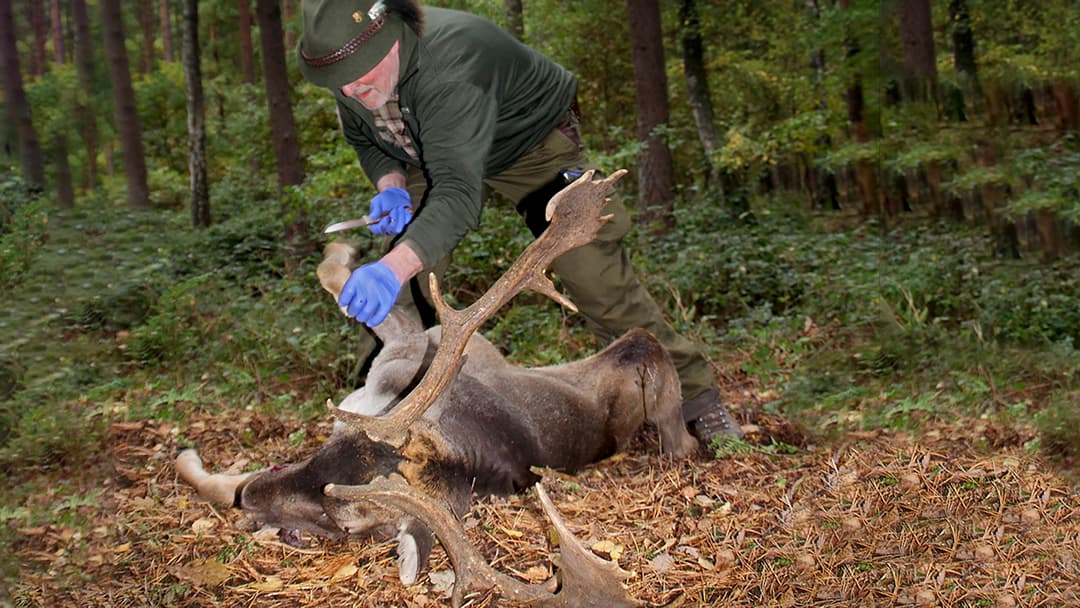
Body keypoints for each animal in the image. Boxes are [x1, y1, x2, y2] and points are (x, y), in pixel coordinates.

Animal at [174, 168, 699, 604]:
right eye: (330, 449)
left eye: (341, 519)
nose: (254, 495)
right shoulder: (389, 375)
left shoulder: (403, 354)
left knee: (647, 346)